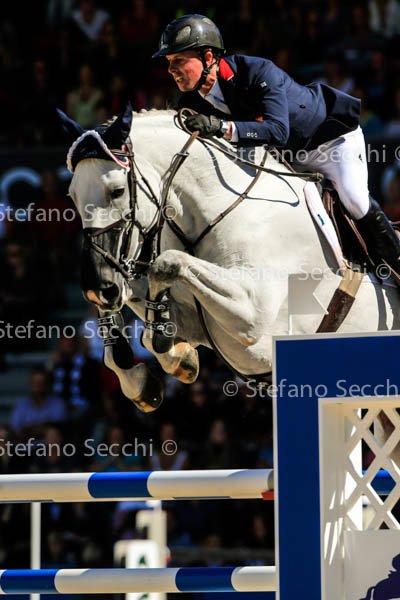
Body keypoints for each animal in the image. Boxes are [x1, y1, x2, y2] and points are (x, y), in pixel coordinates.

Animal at [58, 104, 400, 422]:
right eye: (72, 197)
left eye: (116, 191)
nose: (98, 288)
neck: (220, 208)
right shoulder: (201, 321)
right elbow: (140, 324)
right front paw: (161, 370)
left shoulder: (252, 317)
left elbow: (166, 264)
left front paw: (168, 350)